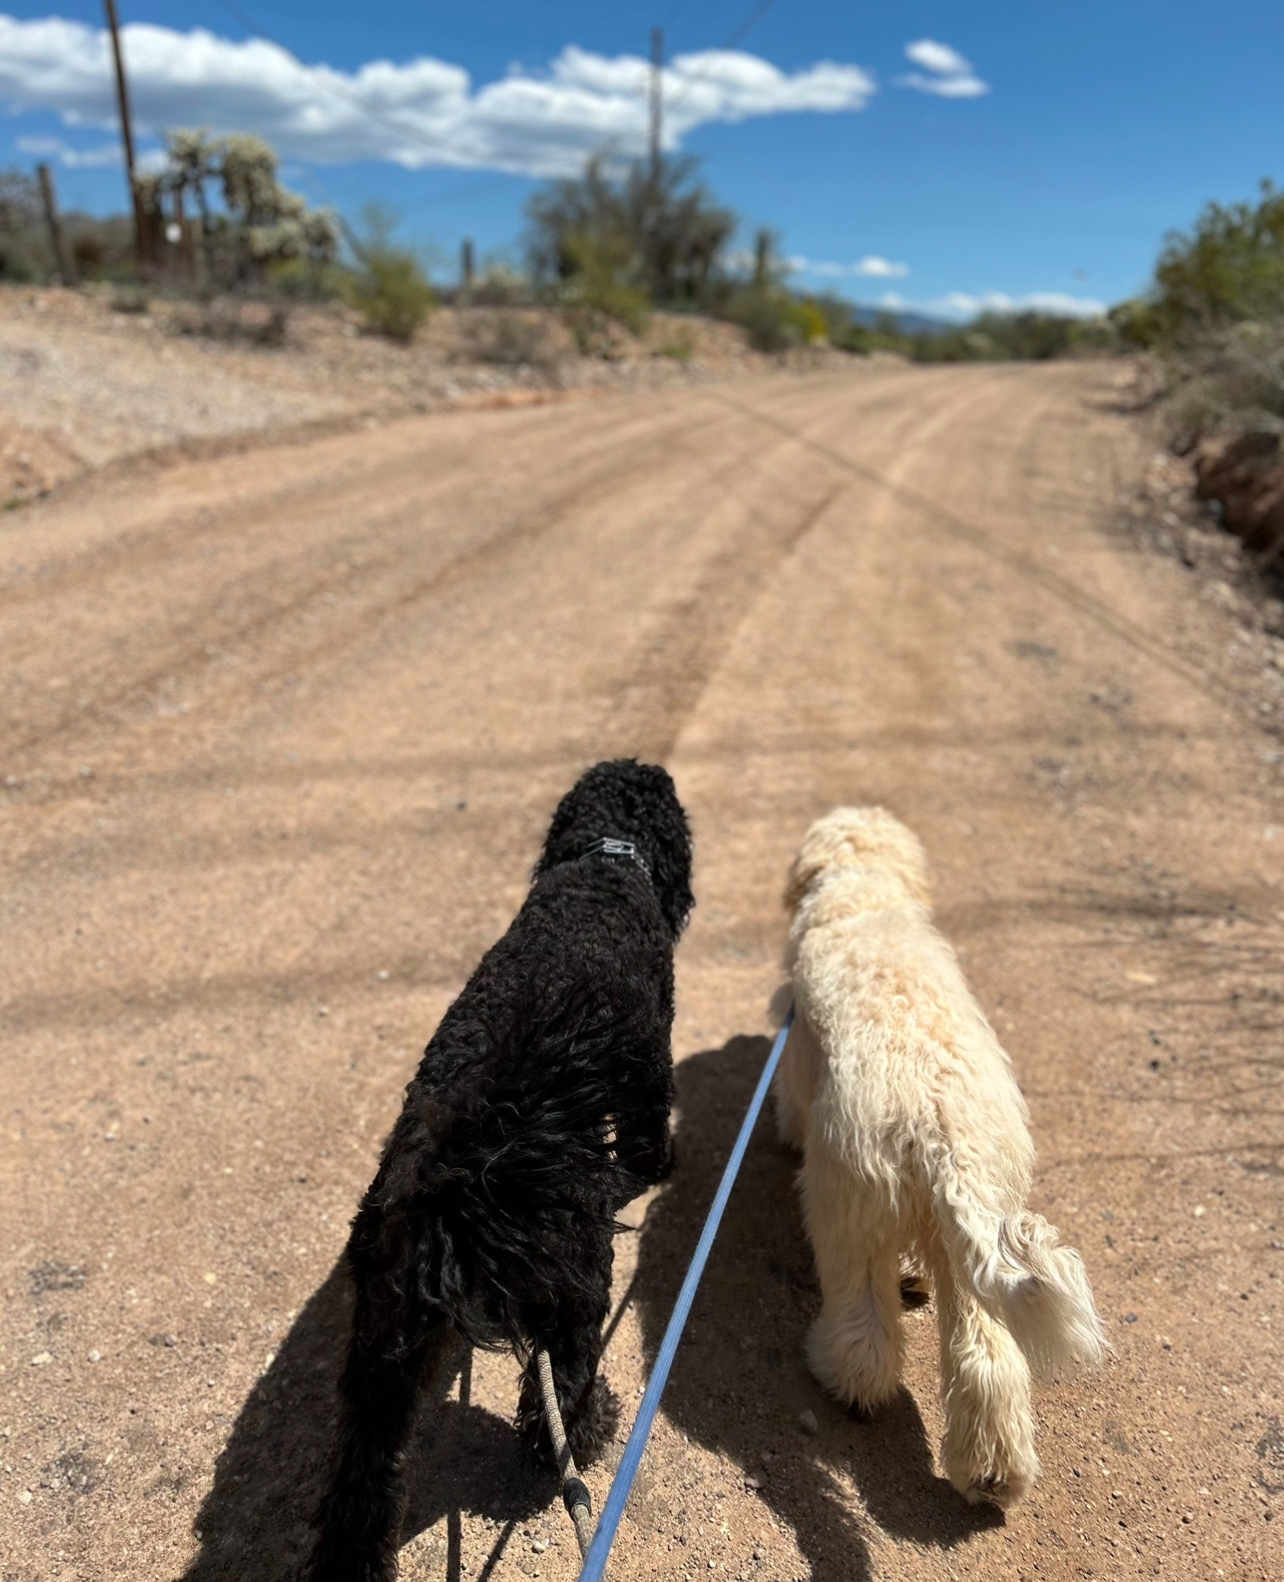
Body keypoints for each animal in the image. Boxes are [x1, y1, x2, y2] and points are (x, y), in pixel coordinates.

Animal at [309, 760, 694, 1582]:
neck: (606, 861)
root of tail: (451, 1188)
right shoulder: (651, 1063)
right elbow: (649, 1136)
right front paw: (661, 1167)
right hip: (576, 1278)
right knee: (564, 1381)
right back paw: (584, 1433)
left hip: (381, 1351)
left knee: (364, 1477)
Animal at [775, 806, 1106, 1508]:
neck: (865, 890)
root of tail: (940, 1128)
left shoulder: (796, 1048)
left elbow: (789, 1096)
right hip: (972, 1245)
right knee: (989, 1361)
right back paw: (991, 1474)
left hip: (847, 1210)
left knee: (867, 1334)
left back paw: (842, 1380)